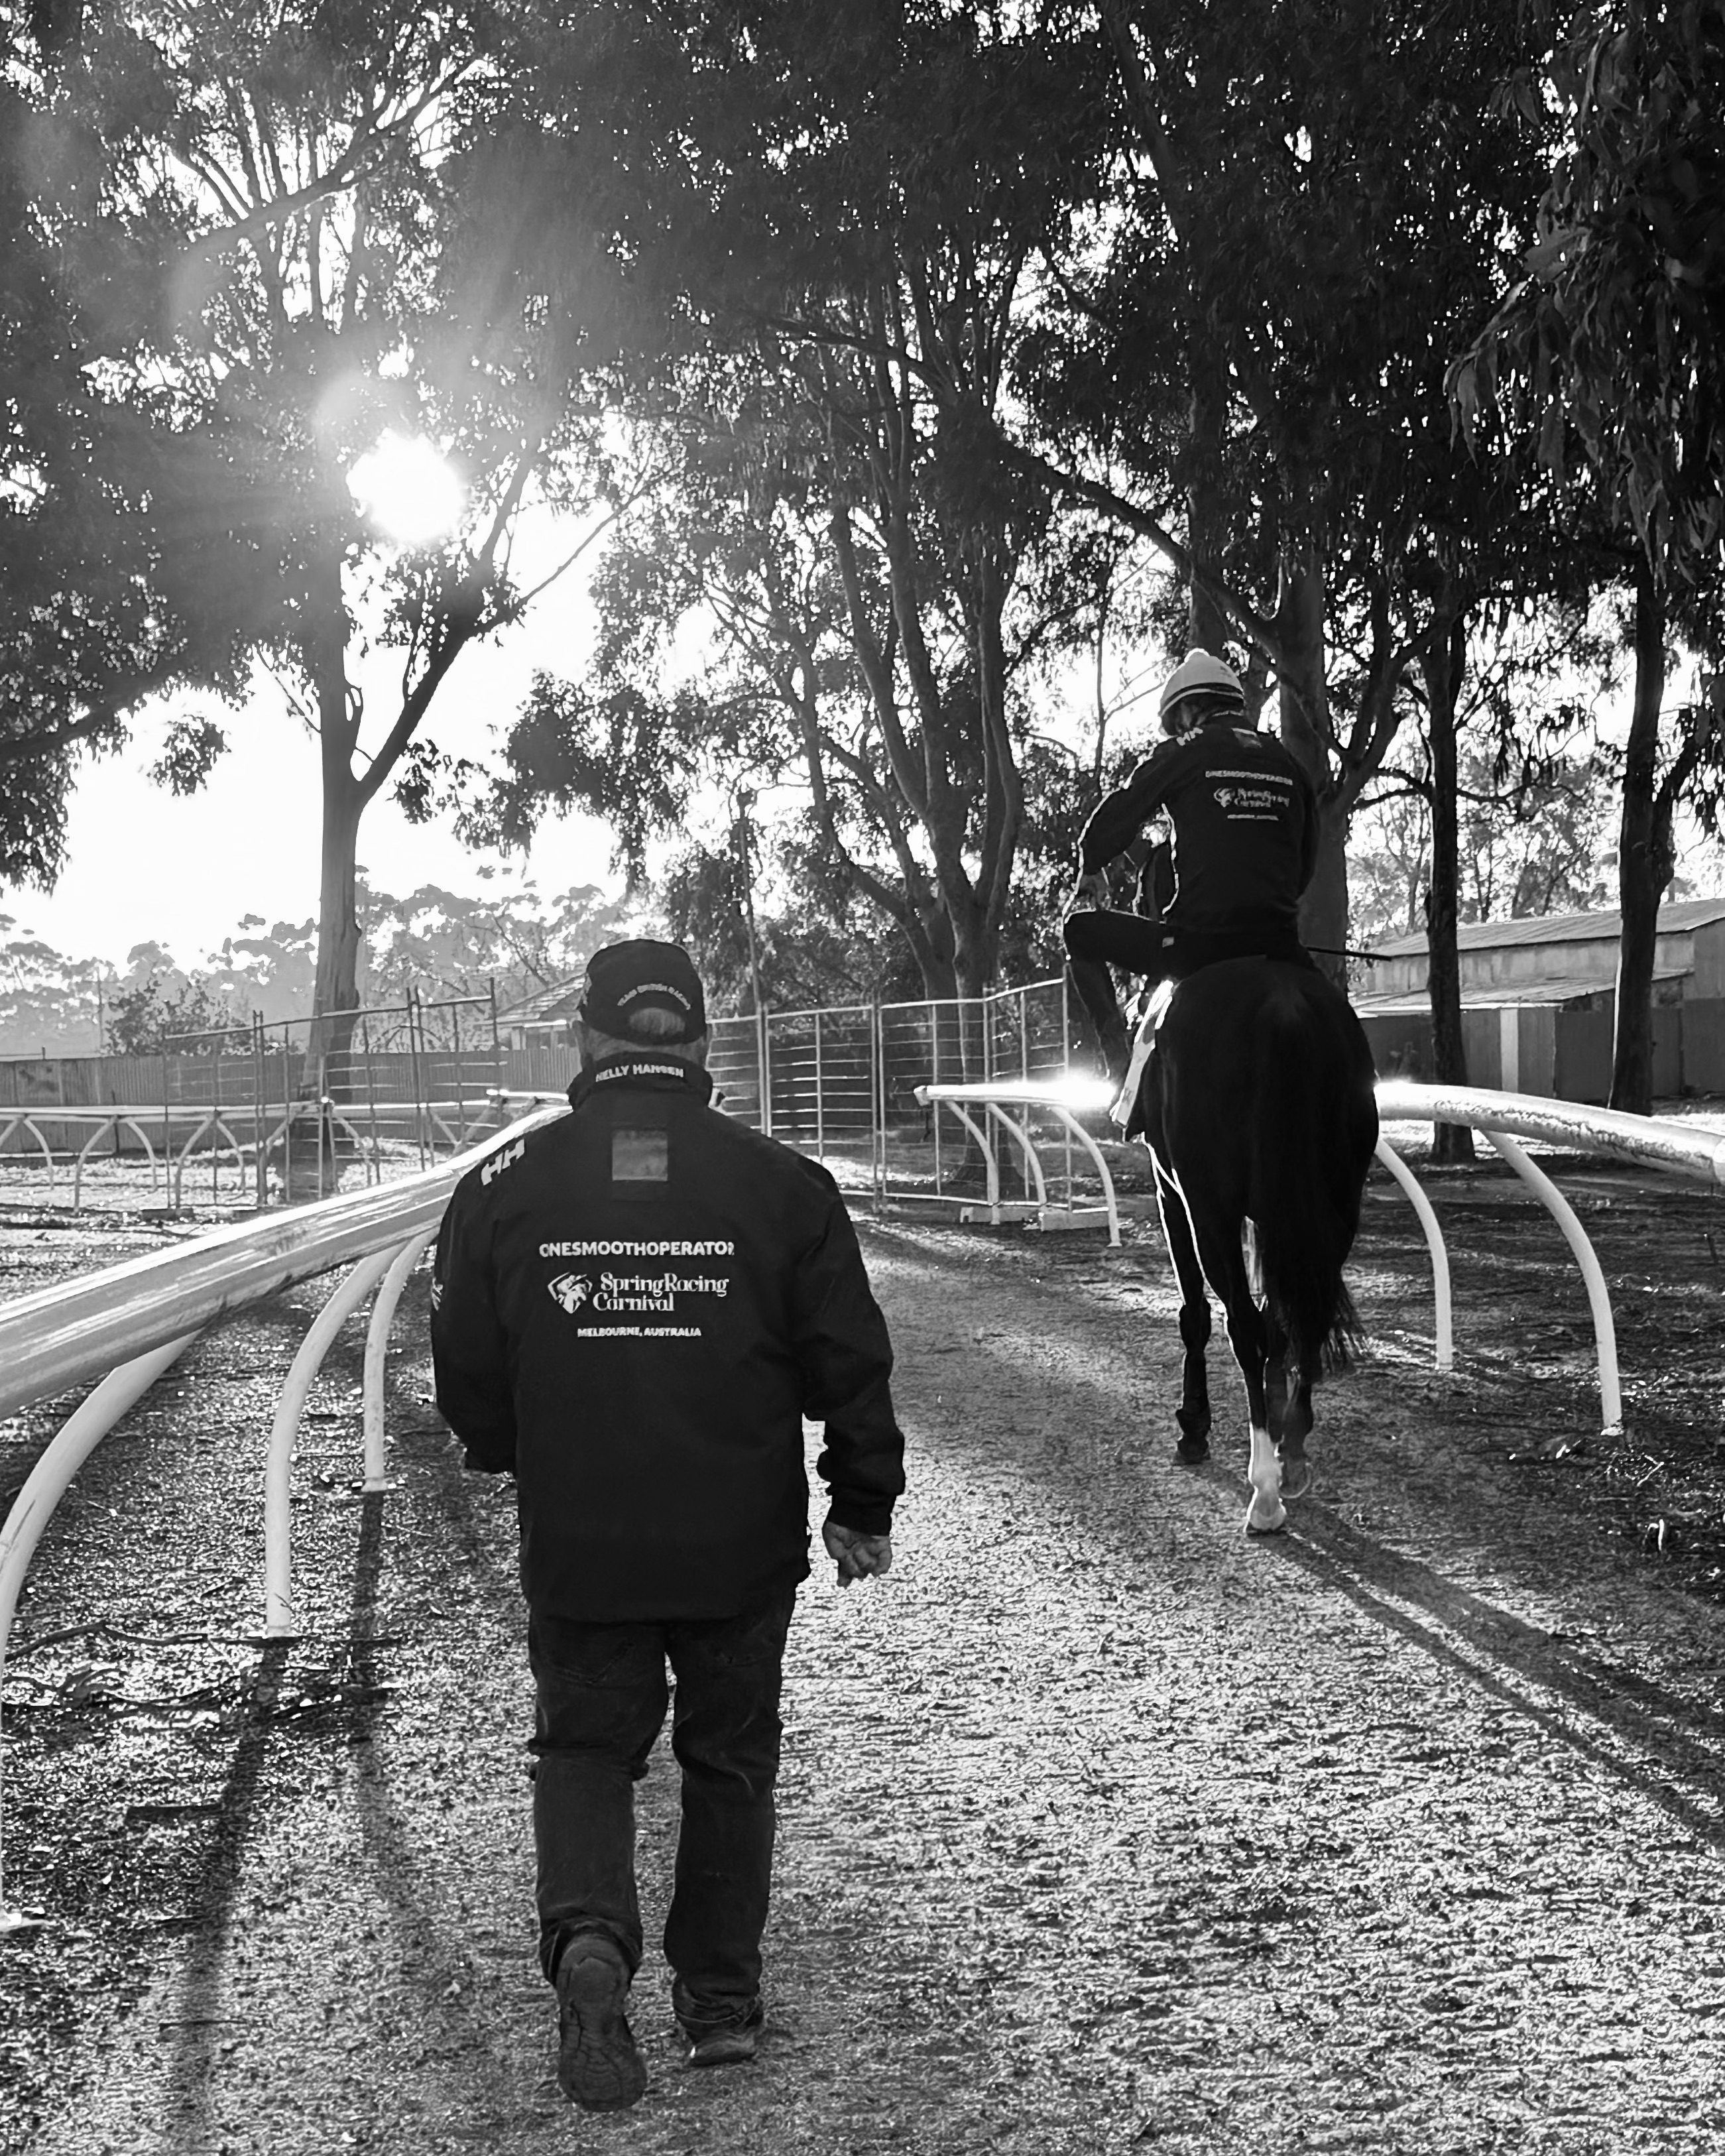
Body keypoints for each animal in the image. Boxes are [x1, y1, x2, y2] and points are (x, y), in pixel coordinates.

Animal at [1138, 961, 1380, 1535]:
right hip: (1338, 1207)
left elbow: (1198, 1315)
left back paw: (1265, 1490)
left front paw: (1194, 1426)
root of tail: (1282, 1006)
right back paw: (1291, 1450)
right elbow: (1279, 1320)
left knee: (1243, 1327)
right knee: (1309, 1314)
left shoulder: (1173, 1196)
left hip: (1213, 1211)